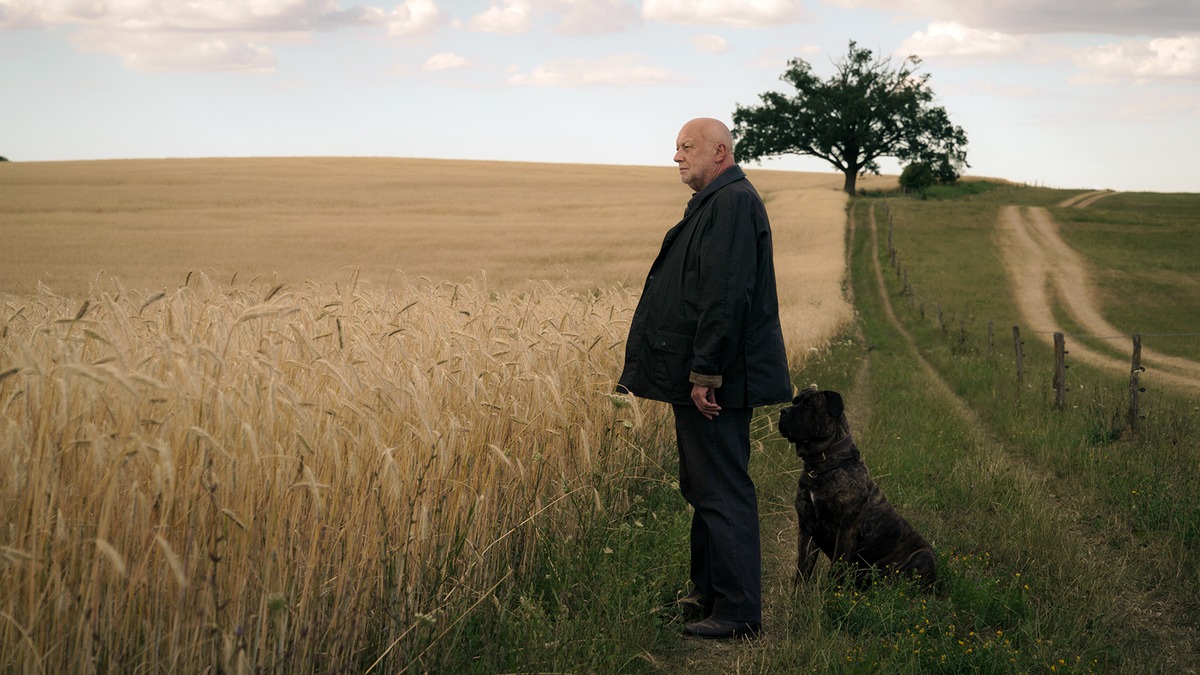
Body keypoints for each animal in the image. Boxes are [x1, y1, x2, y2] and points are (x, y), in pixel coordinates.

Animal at [777, 386, 936, 586]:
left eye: (810, 405)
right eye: (794, 401)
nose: (783, 411)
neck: (821, 465)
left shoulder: (846, 531)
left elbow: (835, 571)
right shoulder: (806, 527)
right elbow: (802, 568)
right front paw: (798, 593)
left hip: (924, 556)